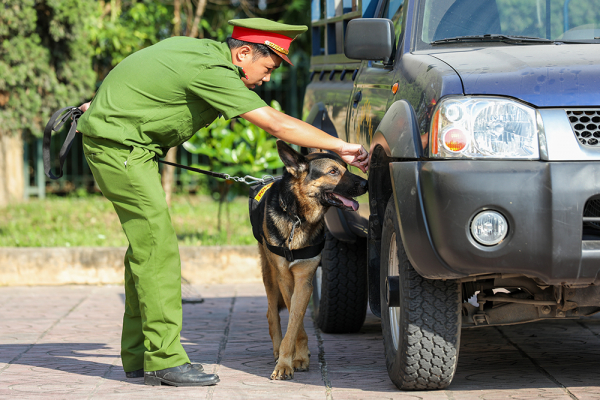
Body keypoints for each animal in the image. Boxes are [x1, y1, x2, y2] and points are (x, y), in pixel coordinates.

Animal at [256, 141, 368, 382]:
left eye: (346, 167)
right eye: (333, 172)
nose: (367, 182)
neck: (299, 217)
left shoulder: (304, 279)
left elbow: (295, 321)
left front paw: (295, 359)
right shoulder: (286, 280)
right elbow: (293, 322)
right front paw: (286, 361)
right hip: (270, 274)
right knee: (272, 314)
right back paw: (277, 349)